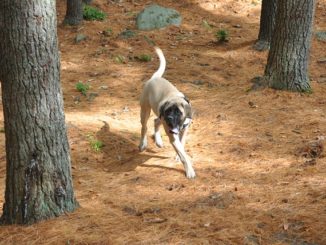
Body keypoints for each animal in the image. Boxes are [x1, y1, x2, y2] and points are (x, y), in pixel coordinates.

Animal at [138, 47, 195, 179]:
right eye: (168, 110)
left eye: (178, 112)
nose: (169, 118)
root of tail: (154, 78)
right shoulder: (172, 134)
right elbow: (183, 155)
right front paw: (189, 170)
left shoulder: (184, 129)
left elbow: (182, 146)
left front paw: (178, 156)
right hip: (145, 110)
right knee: (144, 127)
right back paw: (143, 144)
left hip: (159, 116)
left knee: (156, 121)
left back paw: (158, 141)